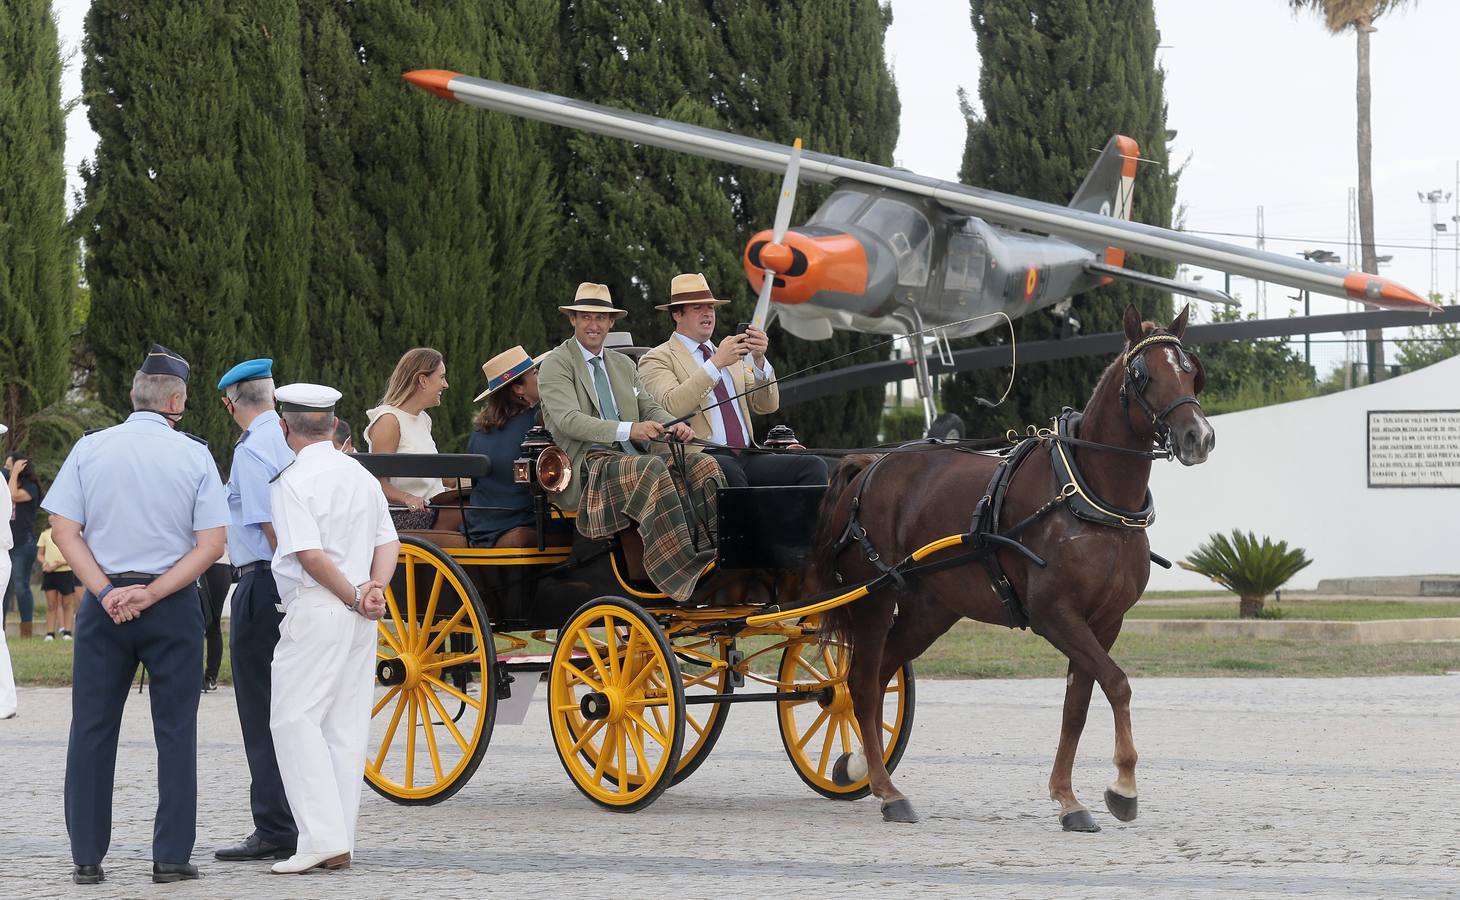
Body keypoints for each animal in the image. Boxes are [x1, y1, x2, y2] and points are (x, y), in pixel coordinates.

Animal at [817, 305, 1214, 835]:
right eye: (1143, 375)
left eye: (1191, 371)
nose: (1199, 437)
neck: (1088, 495)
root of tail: (870, 466)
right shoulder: (1055, 615)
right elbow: (1117, 683)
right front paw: (1123, 785)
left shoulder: (1104, 622)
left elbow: (1077, 706)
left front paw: (1068, 798)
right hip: (874, 598)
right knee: (860, 682)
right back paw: (887, 791)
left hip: (931, 610)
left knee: (880, 676)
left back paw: (861, 764)